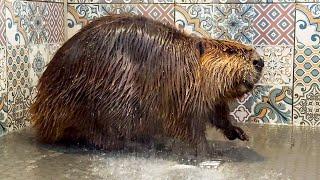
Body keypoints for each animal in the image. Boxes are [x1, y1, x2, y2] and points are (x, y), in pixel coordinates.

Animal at [30, 13, 264, 155]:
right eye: (230, 51)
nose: (259, 62)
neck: (186, 61)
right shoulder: (181, 90)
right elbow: (189, 125)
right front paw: (208, 153)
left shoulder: (206, 94)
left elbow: (218, 112)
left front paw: (238, 132)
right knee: (100, 133)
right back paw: (136, 144)